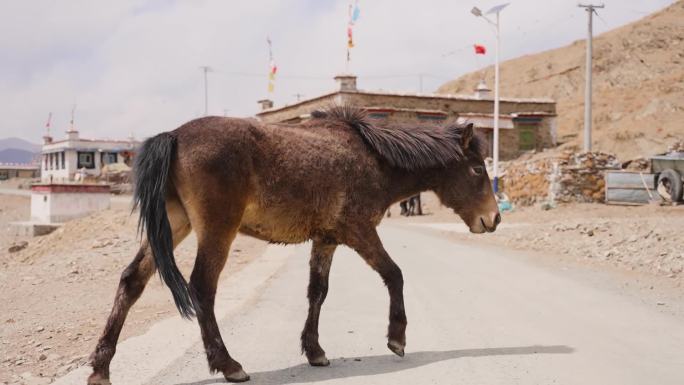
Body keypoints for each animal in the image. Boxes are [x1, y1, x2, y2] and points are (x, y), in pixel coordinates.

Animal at [88, 106, 500, 384]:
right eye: (478, 169)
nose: (494, 219)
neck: (372, 158)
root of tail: (173, 135)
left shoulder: (327, 240)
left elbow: (318, 292)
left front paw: (315, 351)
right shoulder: (359, 231)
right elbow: (394, 274)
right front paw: (396, 338)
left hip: (176, 225)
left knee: (131, 281)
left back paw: (101, 367)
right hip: (216, 230)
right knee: (202, 288)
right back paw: (229, 365)